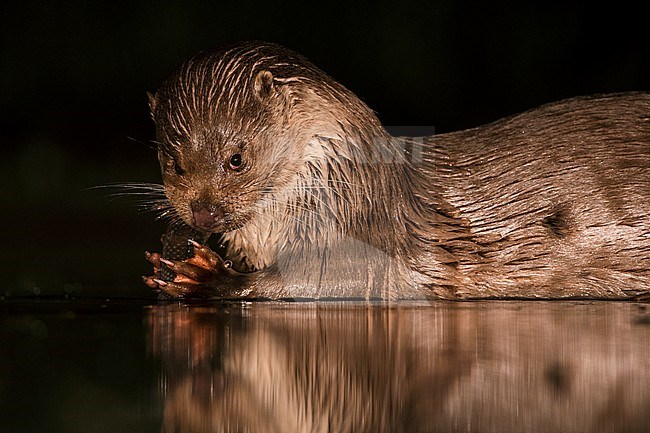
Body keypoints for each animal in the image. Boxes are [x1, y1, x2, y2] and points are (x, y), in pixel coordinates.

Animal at [144, 41, 648, 300]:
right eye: (174, 162)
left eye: (237, 158)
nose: (203, 212)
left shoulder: (358, 240)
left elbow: (318, 283)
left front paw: (204, 275)